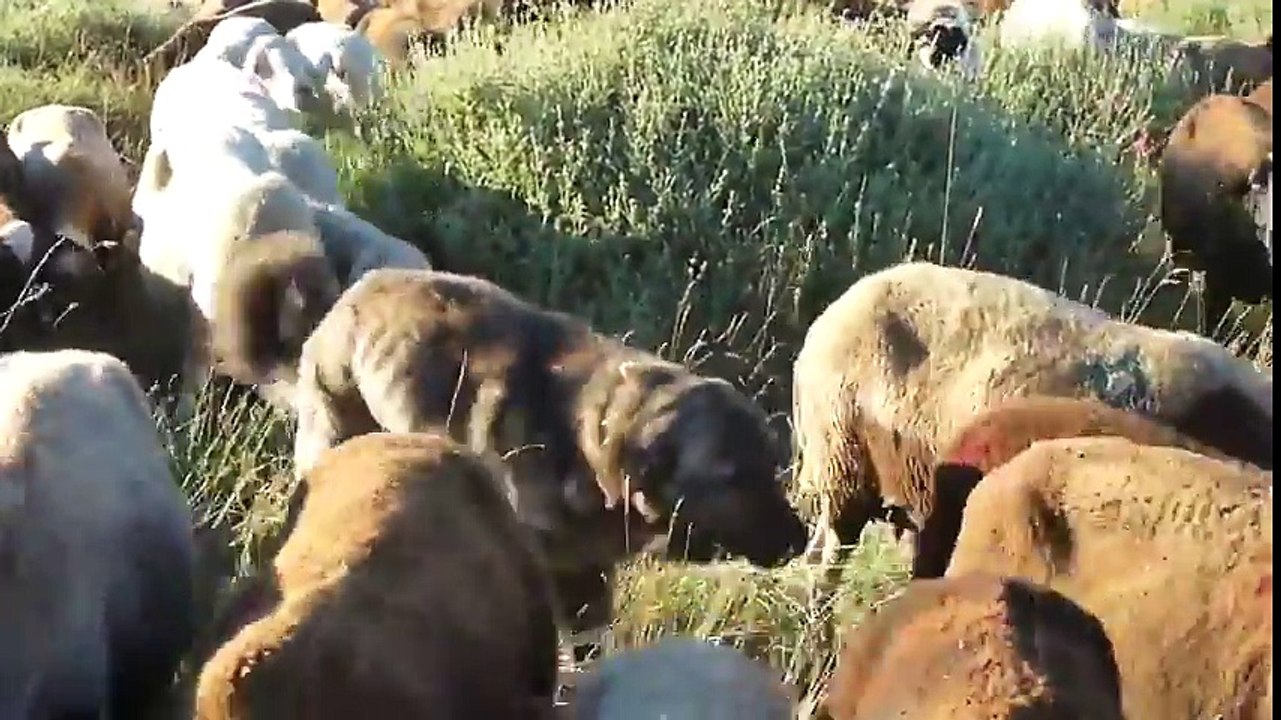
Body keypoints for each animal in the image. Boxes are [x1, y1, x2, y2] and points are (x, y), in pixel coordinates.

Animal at [288, 267, 807, 659]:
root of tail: (354, 291)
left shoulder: (588, 580)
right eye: (733, 477)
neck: (589, 447)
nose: (800, 541)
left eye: (771, 467)